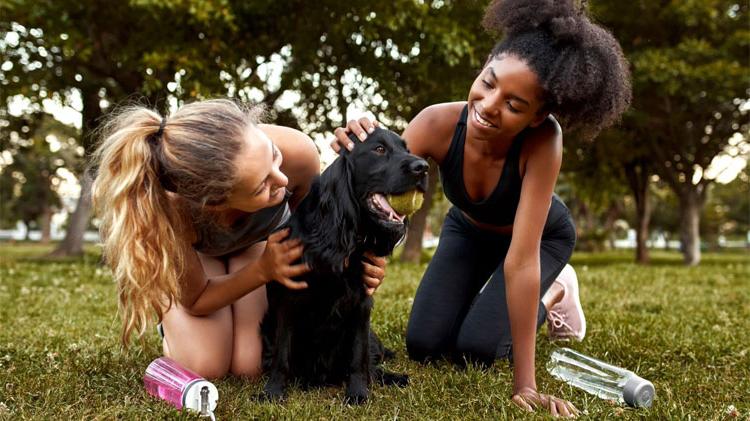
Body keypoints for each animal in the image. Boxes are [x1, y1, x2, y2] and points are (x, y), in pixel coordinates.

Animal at [262, 126, 428, 402]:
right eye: (379, 149)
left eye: (407, 148)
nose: (423, 167)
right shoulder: (290, 298)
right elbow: (281, 354)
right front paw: (273, 392)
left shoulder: (361, 303)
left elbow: (358, 356)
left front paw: (358, 393)